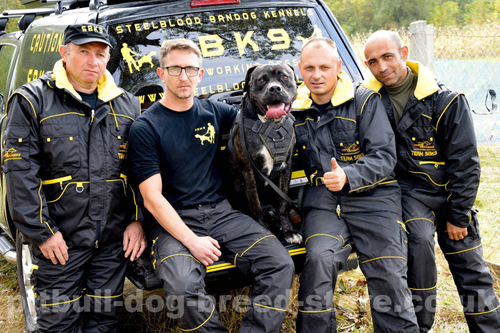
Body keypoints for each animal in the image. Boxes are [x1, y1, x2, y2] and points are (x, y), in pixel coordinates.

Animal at [229, 63, 302, 243]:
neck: (272, 126)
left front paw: (289, 231)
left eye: (284, 77)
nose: (274, 88)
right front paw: (264, 230)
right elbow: (254, 204)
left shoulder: (286, 168)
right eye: (261, 80)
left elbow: (283, 203)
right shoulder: (248, 171)